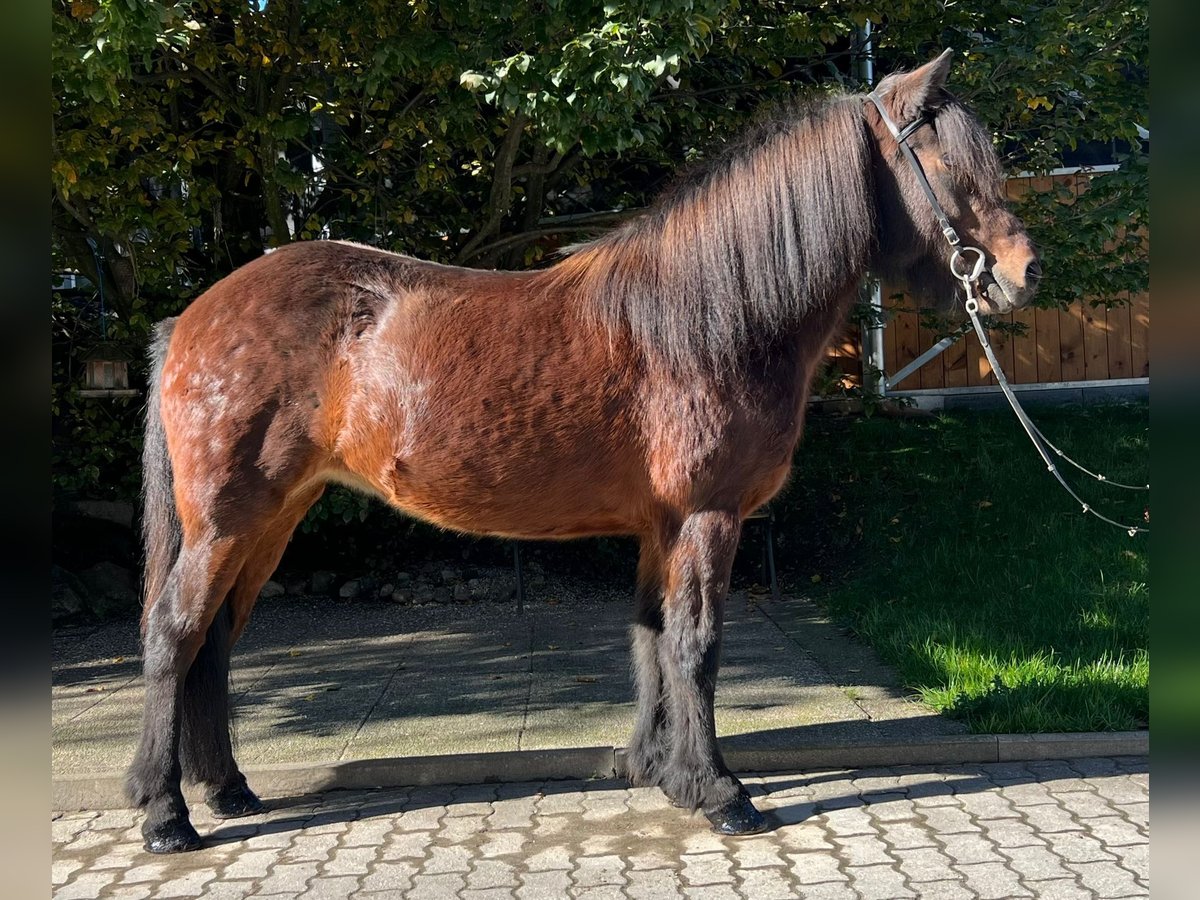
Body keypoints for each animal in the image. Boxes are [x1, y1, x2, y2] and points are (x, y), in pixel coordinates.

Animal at [126, 50, 1040, 852]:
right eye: (949, 165)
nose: (1022, 273)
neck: (714, 317)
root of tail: (193, 316)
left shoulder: (661, 526)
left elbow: (652, 640)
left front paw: (662, 773)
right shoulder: (708, 517)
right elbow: (696, 645)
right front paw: (722, 794)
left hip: (271, 519)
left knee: (215, 639)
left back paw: (228, 789)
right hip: (227, 522)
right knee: (174, 633)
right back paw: (167, 816)